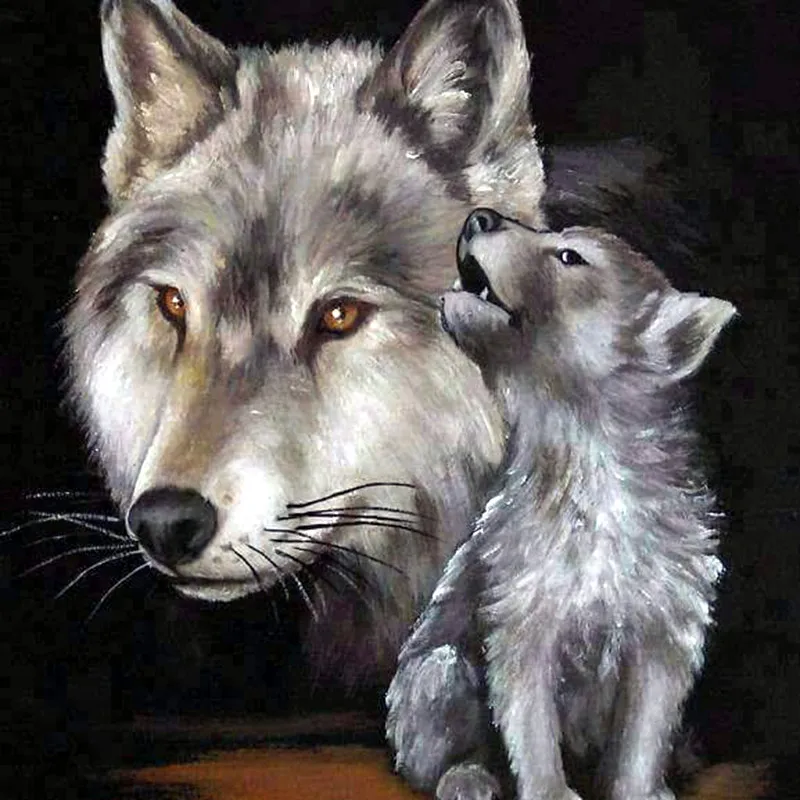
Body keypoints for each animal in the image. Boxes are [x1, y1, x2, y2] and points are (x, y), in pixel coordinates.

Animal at [386, 208, 736, 800]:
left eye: (570, 256)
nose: (480, 216)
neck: (588, 462)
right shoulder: (523, 615)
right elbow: (529, 720)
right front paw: (550, 790)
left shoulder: (665, 626)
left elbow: (646, 727)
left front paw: (639, 788)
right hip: (437, 675)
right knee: (438, 742)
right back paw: (467, 778)